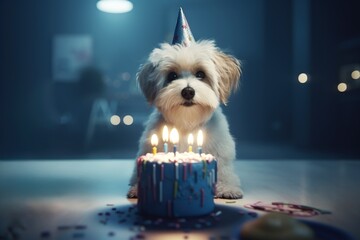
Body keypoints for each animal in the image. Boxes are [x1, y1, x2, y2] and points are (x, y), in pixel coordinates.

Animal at [128, 39, 243, 199]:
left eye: (200, 74)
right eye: (172, 76)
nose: (188, 91)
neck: (187, 123)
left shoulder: (220, 149)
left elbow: (223, 169)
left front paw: (227, 187)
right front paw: (137, 188)